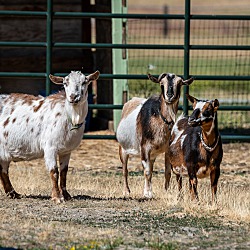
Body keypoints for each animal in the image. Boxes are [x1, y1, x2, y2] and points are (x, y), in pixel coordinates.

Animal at [0, 69, 99, 202]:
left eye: (85, 82)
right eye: (65, 83)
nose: (73, 96)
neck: (69, 117)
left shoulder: (66, 151)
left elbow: (64, 172)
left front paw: (66, 195)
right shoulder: (50, 147)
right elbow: (54, 172)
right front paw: (57, 197)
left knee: (3, 169)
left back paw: (13, 193)